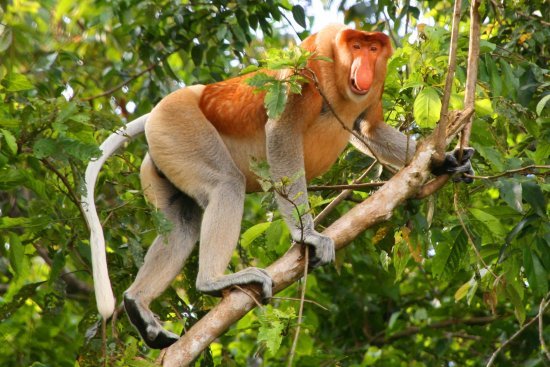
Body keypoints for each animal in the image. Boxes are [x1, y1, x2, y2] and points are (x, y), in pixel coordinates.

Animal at [81, 23, 474, 350]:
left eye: (374, 48)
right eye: (357, 45)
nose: (364, 62)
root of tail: (160, 110)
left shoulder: (376, 86)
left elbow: (369, 129)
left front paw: (446, 162)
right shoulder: (309, 66)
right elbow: (282, 133)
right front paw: (308, 235)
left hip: (163, 156)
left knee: (181, 222)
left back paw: (138, 305)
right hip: (180, 125)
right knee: (226, 185)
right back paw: (212, 281)